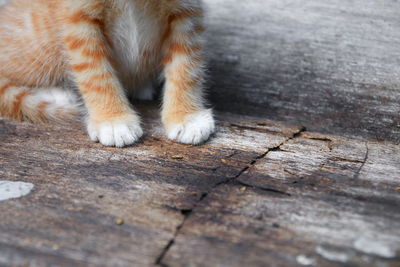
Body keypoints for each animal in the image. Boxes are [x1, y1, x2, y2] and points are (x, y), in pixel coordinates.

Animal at [0, 0, 216, 148]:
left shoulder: (186, 14)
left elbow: (187, 67)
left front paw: (187, 116)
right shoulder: (78, 19)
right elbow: (95, 75)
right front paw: (112, 120)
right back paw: (56, 94)